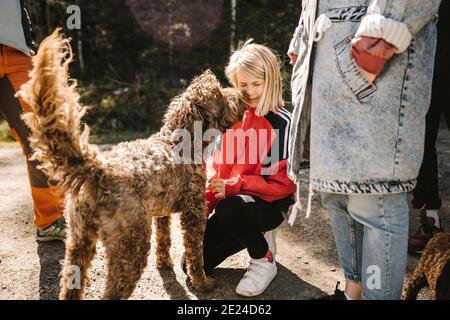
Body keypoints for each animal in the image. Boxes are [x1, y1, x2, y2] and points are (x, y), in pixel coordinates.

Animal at [17, 30, 248, 300]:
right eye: (219, 94)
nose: (242, 97)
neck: (177, 140)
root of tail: (98, 170)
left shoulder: (162, 211)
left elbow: (164, 239)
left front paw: (164, 264)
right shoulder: (193, 212)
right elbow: (195, 254)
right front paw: (202, 283)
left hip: (79, 242)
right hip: (130, 247)